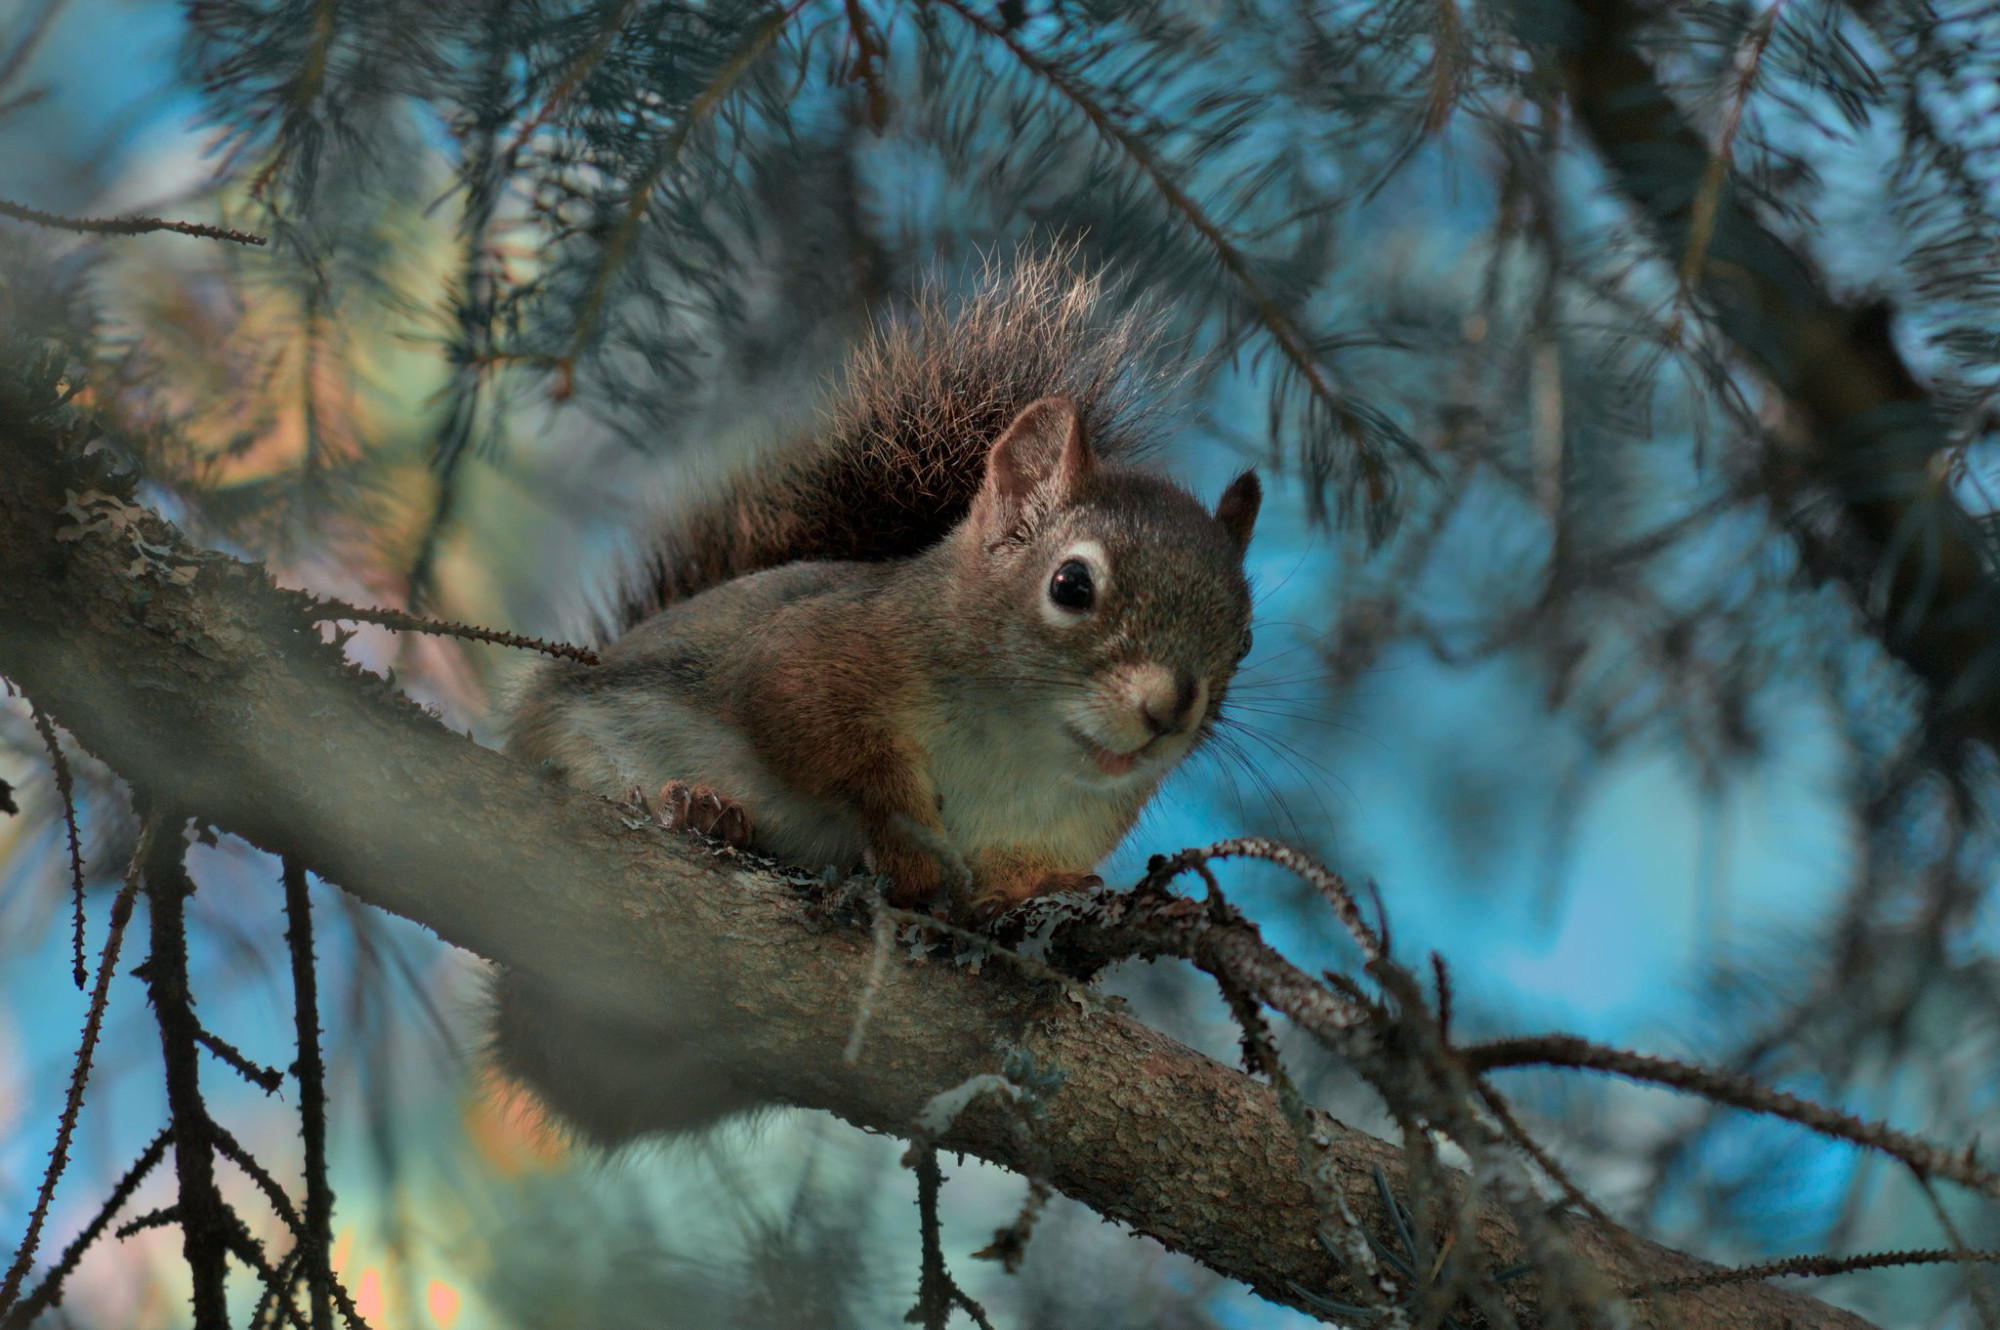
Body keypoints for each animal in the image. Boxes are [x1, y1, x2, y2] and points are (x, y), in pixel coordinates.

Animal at [492, 254, 1256, 1136]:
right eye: (1071, 584)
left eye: (1244, 638)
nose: (1169, 711)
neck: (1020, 747)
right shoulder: (814, 659)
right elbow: (826, 745)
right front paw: (912, 851)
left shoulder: (1066, 824)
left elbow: (1023, 872)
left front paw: (1029, 895)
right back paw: (698, 813)